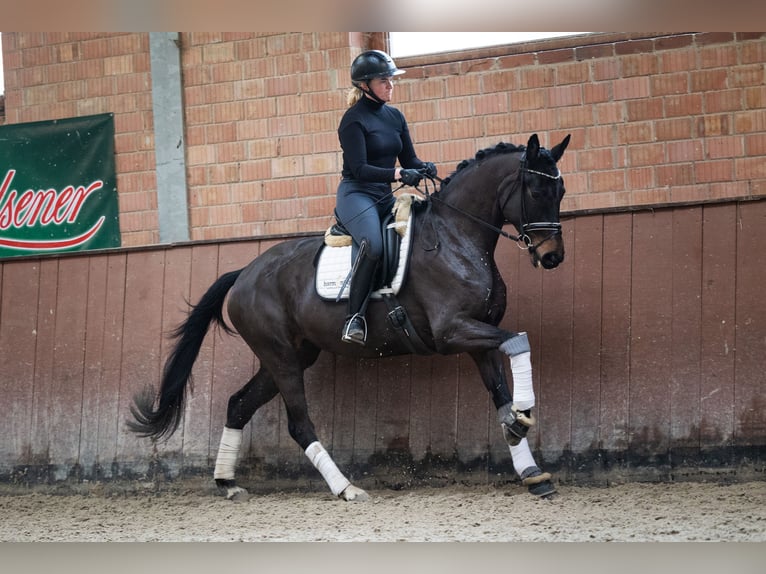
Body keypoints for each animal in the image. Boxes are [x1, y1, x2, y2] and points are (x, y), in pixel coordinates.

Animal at [127, 133, 568, 502]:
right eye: (536, 189)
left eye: (560, 190)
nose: (552, 257)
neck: (456, 237)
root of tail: (245, 273)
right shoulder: (452, 332)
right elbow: (519, 341)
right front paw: (523, 417)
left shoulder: (479, 336)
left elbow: (501, 390)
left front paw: (530, 466)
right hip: (282, 359)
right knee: (299, 424)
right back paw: (346, 488)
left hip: (288, 357)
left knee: (238, 404)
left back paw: (228, 483)